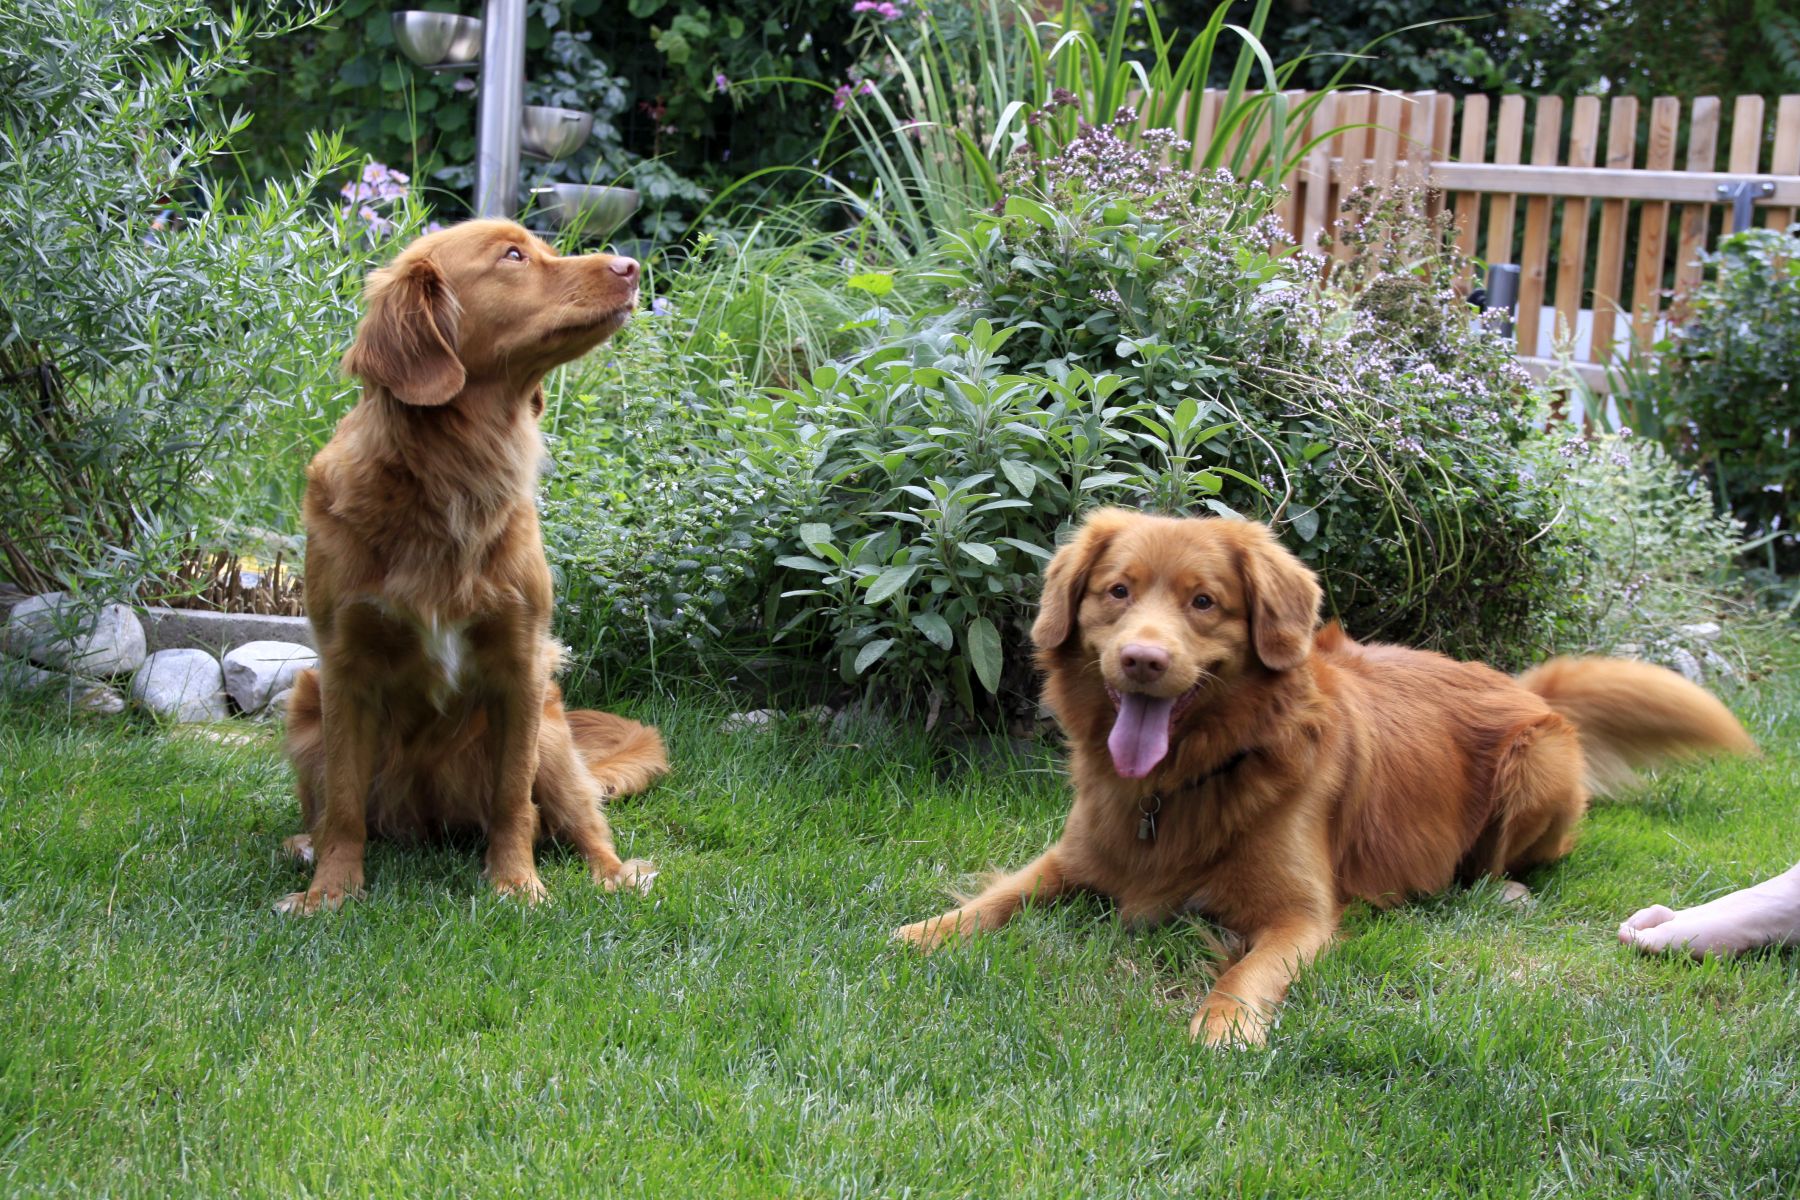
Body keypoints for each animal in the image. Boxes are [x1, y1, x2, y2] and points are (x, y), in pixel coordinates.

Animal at [276, 219, 667, 914]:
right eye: (512, 256)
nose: (630, 266)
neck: (453, 473)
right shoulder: (343, 669)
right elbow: (343, 806)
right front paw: (330, 892)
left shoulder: (521, 662)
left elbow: (513, 801)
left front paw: (515, 883)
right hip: (304, 706)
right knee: (333, 812)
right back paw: (305, 845)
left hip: (552, 733)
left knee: (577, 822)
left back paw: (615, 874)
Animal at [894, 509, 1755, 1045]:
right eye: (1118, 591)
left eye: (1204, 602)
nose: (1142, 660)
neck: (1179, 787)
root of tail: (1523, 686)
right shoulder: (1072, 857)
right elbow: (999, 896)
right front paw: (922, 931)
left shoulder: (1301, 914)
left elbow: (1247, 968)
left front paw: (1224, 1026)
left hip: (1535, 764)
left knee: (1516, 860)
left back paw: (1502, 889)